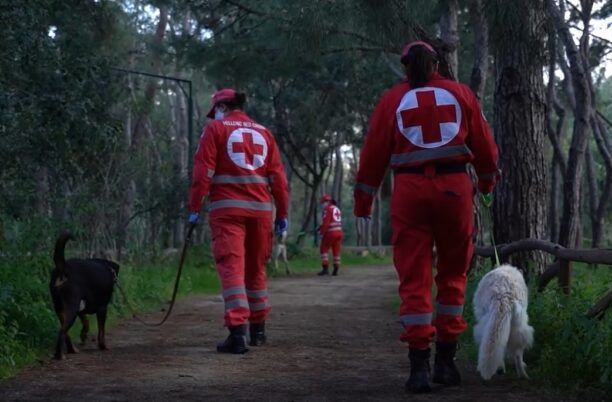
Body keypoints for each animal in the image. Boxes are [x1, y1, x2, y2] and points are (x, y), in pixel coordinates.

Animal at [49, 231, 119, 360]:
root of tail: (64, 267)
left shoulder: (81, 307)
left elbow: (86, 321)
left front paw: (83, 334)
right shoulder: (102, 308)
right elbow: (101, 331)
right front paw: (103, 346)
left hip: (60, 309)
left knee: (65, 331)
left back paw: (71, 349)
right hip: (71, 308)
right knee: (62, 331)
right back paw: (60, 355)